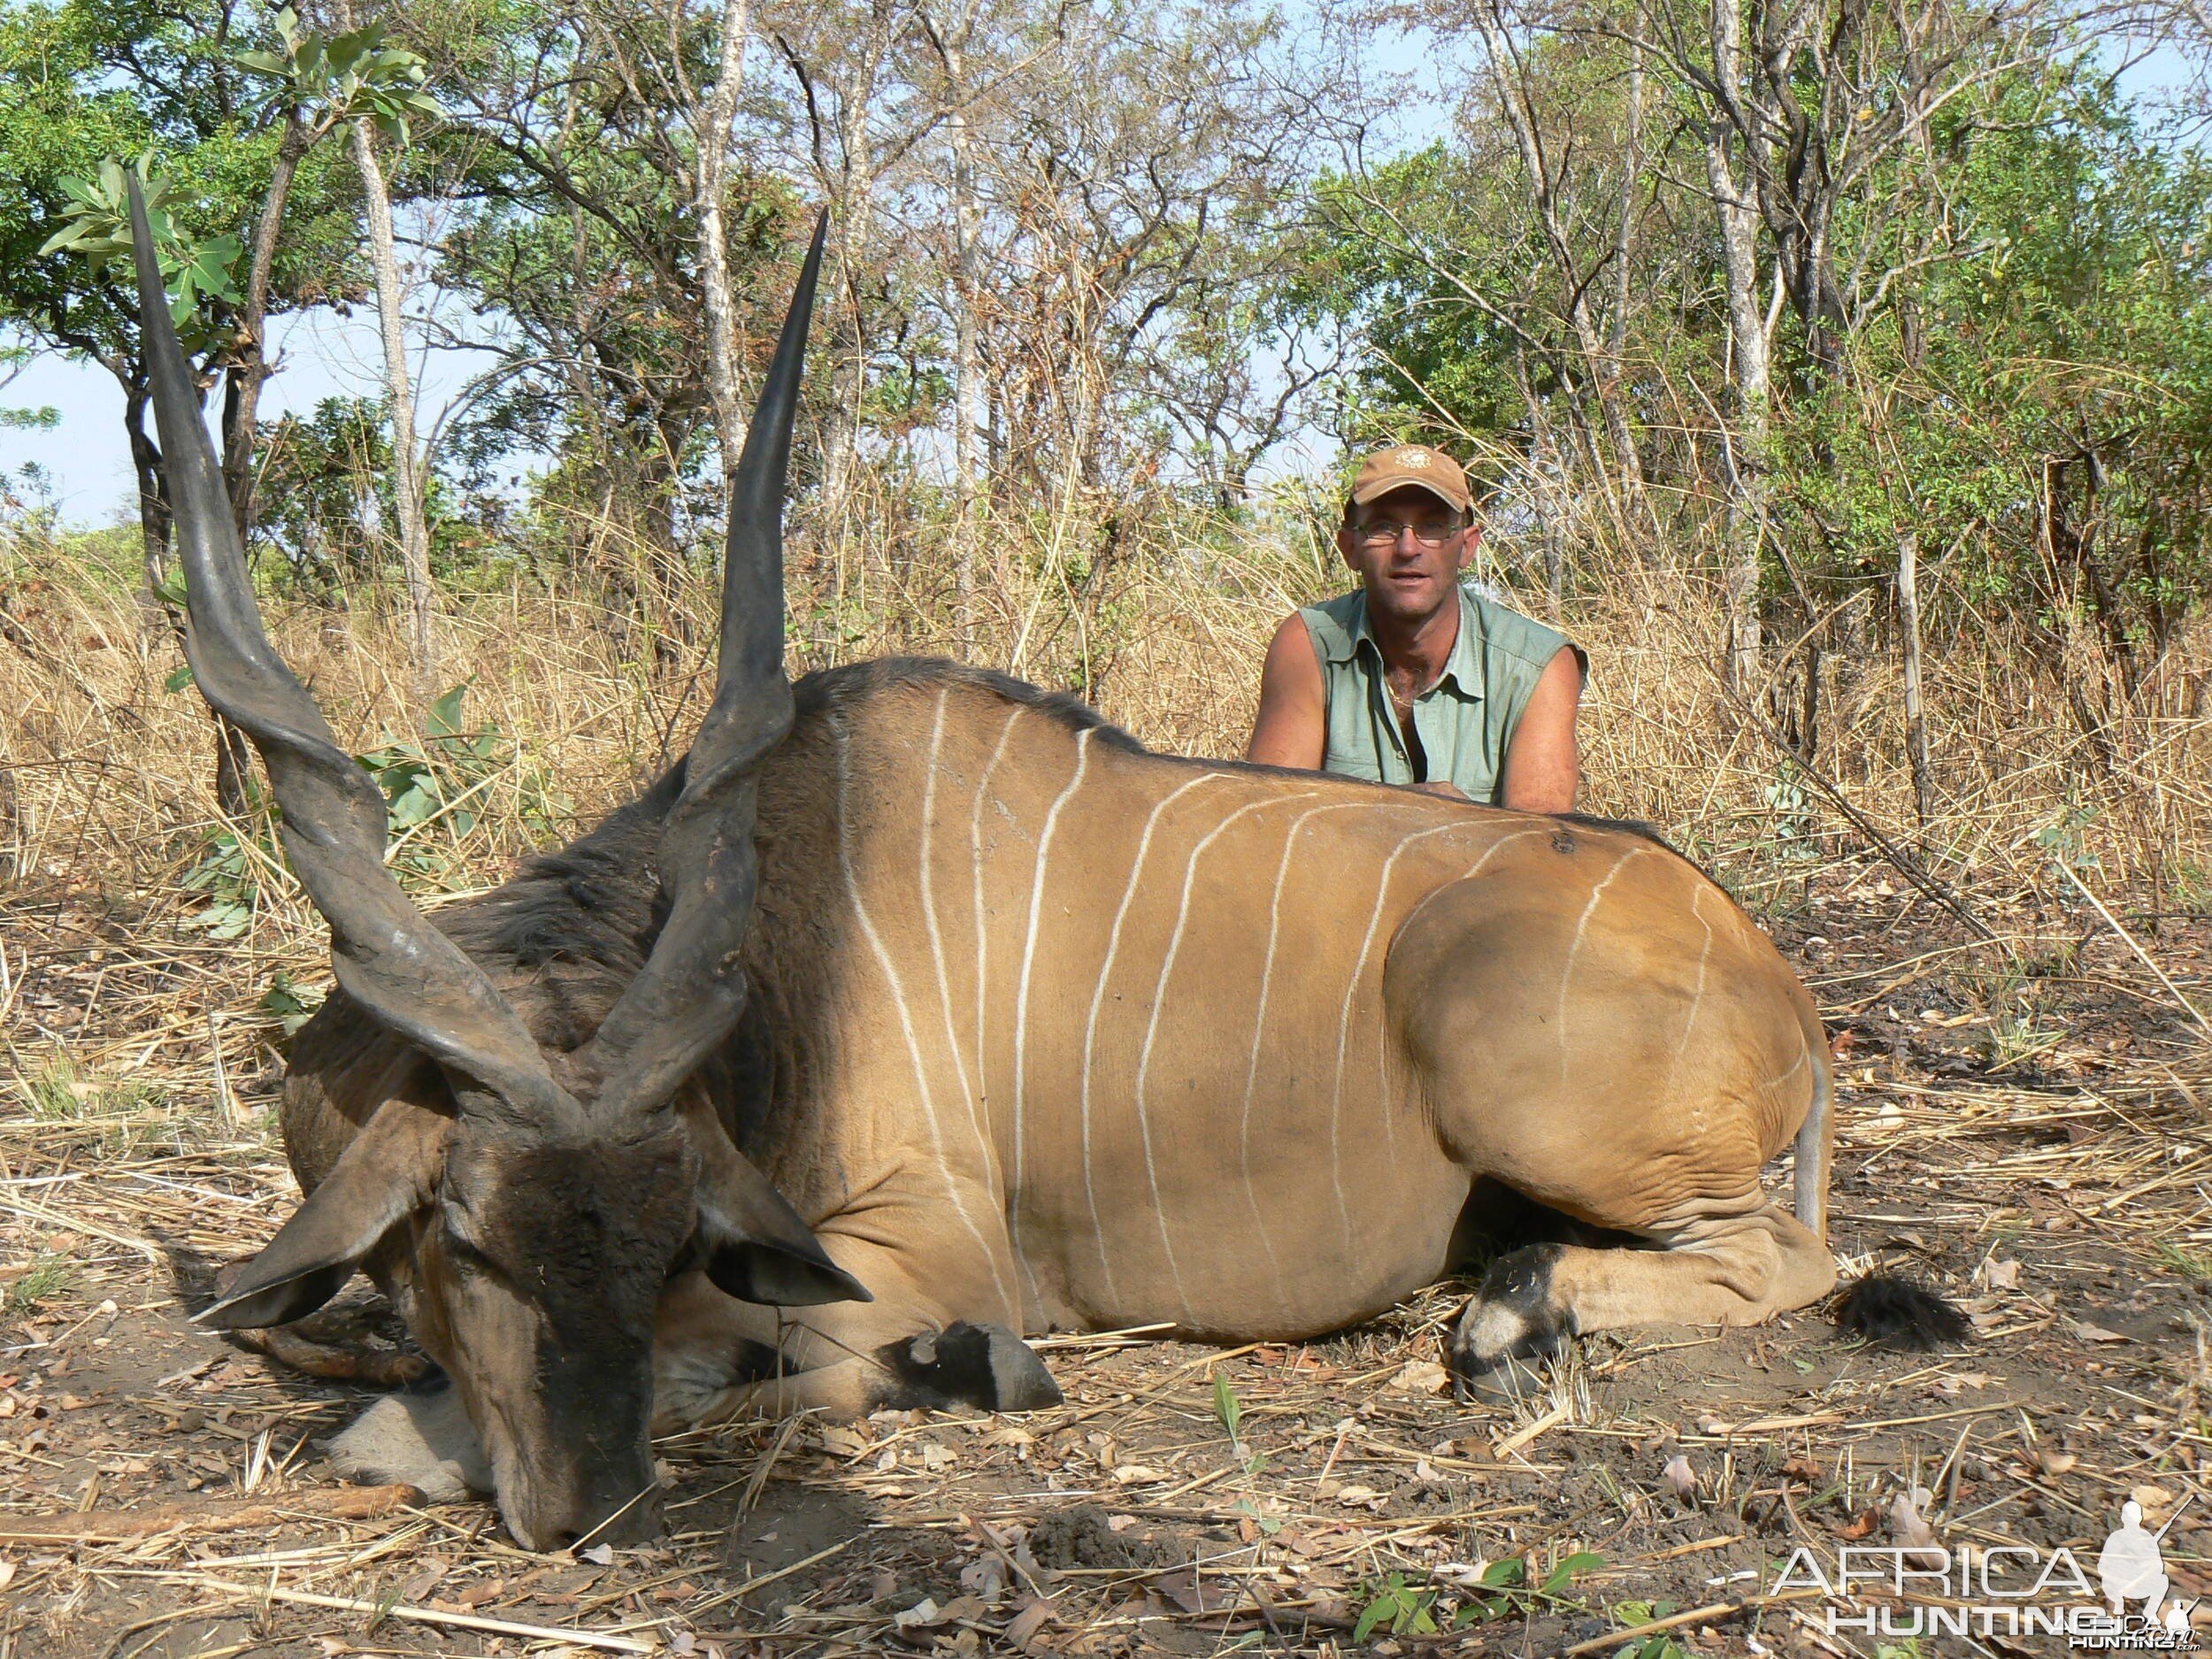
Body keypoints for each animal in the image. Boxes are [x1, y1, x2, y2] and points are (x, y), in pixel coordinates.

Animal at [147, 197, 1955, 1557]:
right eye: (459, 1238)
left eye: (659, 1232)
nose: (587, 1509)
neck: (796, 953)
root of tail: (1779, 984)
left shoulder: (920, 1245)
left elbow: (600, 1385)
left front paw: (952, 1368)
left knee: (1784, 1261)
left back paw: (1515, 1317)